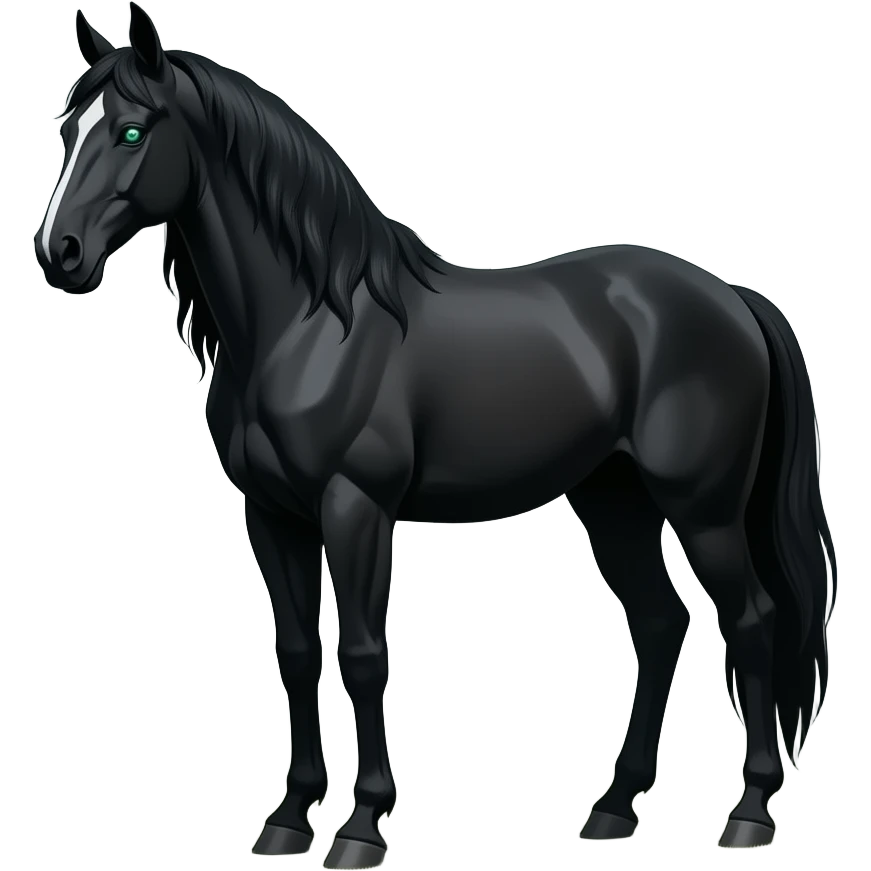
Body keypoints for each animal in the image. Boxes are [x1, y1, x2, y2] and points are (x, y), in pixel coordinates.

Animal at [34, 4, 837, 865]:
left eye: (130, 131)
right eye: (66, 128)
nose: (60, 253)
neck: (312, 321)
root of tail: (731, 297)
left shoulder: (355, 507)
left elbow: (362, 654)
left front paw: (361, 826)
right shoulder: (273, 514)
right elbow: (296, 654)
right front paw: (289, 817)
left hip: (702, 507)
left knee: (750, 620)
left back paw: (747, 814)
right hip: (613, 501)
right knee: (660, 624)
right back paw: (614, 807)